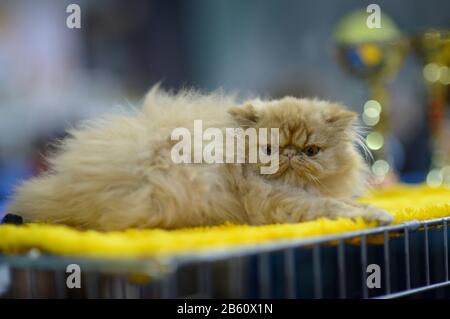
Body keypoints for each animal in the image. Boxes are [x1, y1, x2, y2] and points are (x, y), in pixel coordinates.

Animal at [7, 87, 394, 231]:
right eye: (269, 150)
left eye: (311, 152)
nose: (289, 156)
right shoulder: (279, 202)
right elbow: (335, 207)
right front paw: (380, 215)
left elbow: (341, 202)